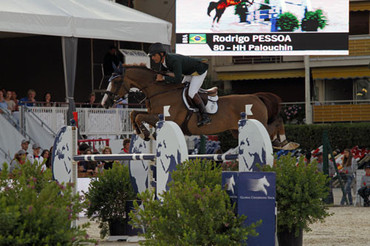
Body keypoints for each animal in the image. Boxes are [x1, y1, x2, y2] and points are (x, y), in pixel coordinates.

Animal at [100, 64, 294, 149]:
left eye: (115, 81)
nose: (104, 103)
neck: (159, 91)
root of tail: (256, 96)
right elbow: (134, 113)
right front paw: (144, 133)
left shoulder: (166, 118)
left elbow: (138, 115)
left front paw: (145, 133)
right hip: (236, 130)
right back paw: (282, 142)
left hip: (257, 124)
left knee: (275, 124)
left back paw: (285, 142)